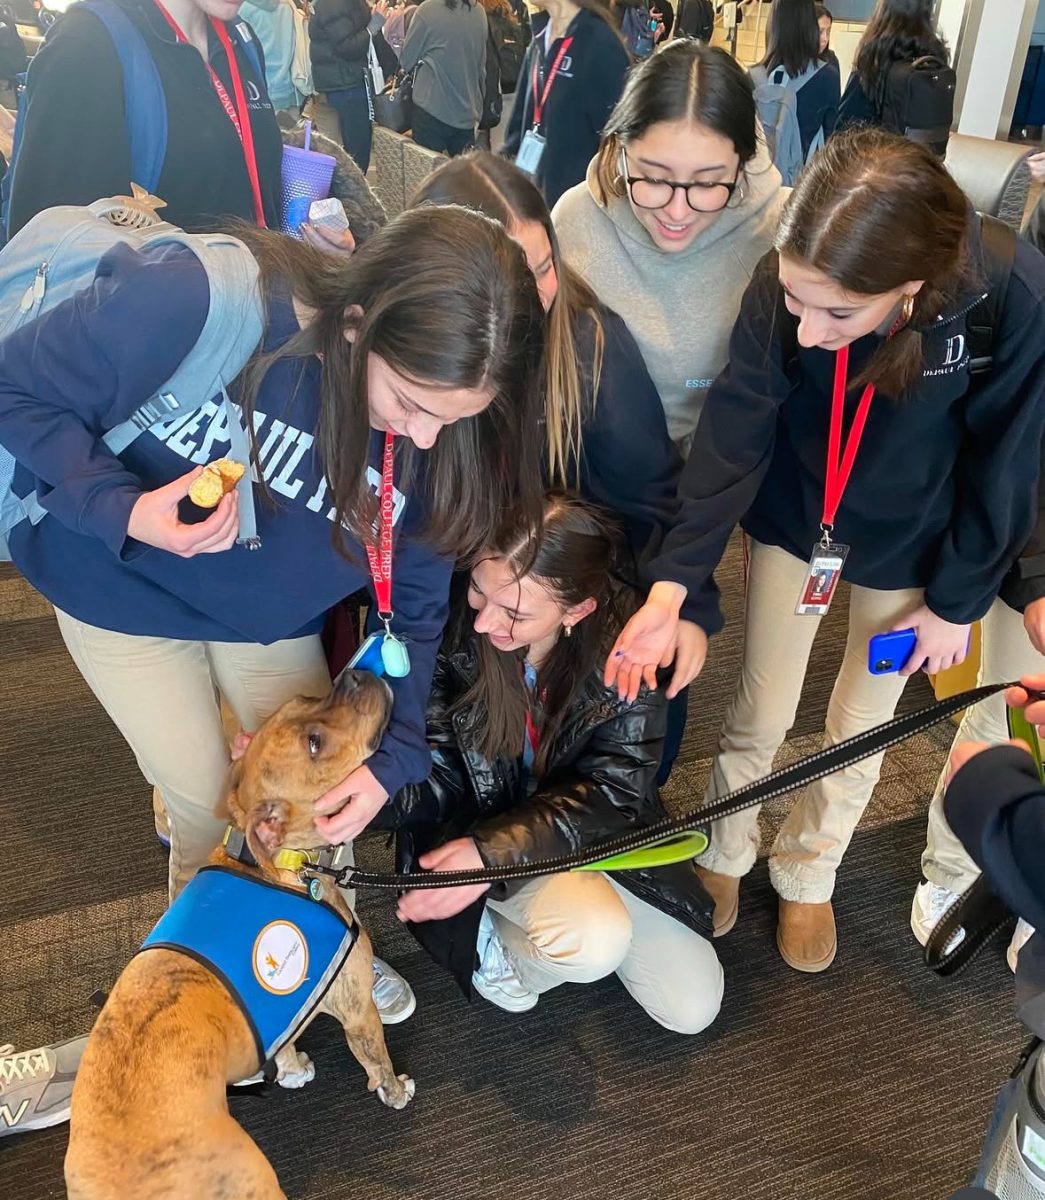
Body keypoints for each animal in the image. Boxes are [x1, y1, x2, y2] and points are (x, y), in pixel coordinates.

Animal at [63, 672, 417, 1195]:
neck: (277, 864)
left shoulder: (285, 1011)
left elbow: (283, 1042)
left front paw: (292, 1069)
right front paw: (394, 1091)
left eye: (305, 699)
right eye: (314, 743)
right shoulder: (357, 1010)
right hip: (251, 1177)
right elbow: (377, 1062)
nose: (354, 674)